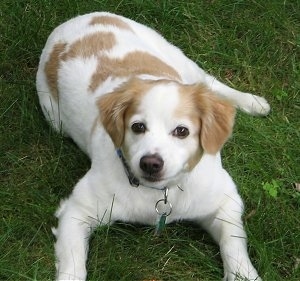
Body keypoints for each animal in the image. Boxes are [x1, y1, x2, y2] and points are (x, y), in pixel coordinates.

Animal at [35, 11, 270, 280]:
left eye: (182, 131)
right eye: (137, 127)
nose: (150, 163)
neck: (160, 192)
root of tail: (76, 19)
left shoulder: (225, 201)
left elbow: (234, 245)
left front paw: (244, 273)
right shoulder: (76, 211)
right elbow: (73, 266)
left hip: (180, 59)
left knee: (211, 83)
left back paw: (253, 102)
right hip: (55, 119)